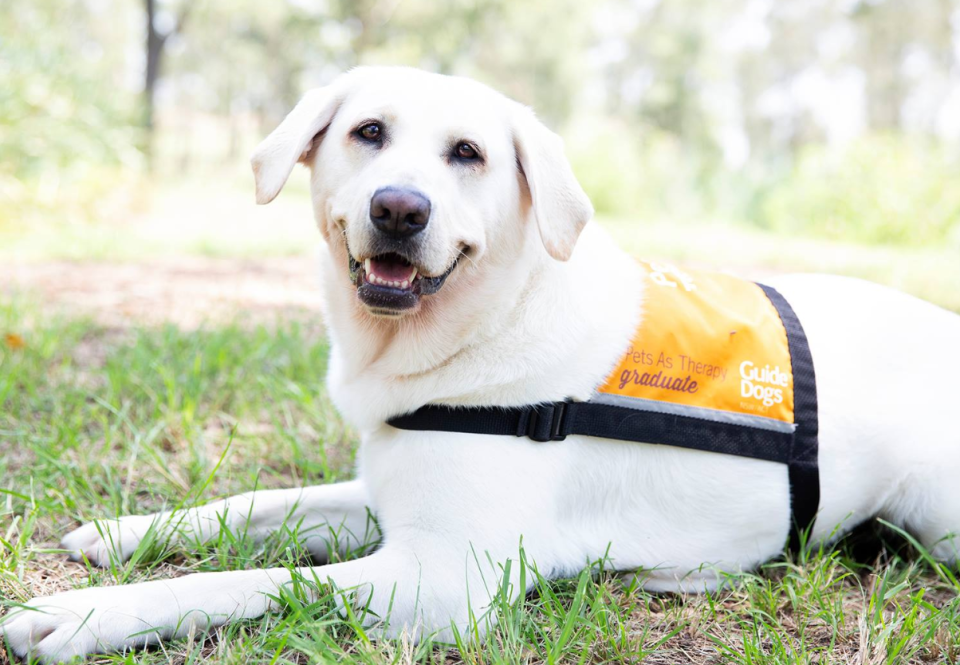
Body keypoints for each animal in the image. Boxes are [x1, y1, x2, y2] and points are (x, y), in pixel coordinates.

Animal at [5, 66, 960, 660]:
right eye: (368, 132)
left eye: (469, 153)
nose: (399, 208)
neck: (474, 332)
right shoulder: (386, 491)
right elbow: (254, 506)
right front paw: (122, 533)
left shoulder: (444, 577)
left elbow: (250, 579)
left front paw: (79, 614)